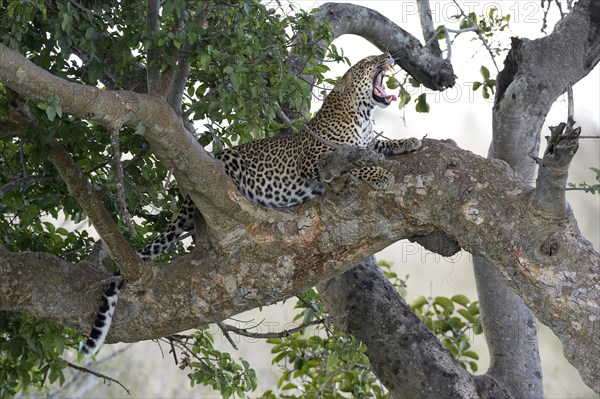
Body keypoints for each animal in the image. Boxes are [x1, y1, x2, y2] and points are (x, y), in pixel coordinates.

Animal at [81, 52, 422, 356]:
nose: (388, 55)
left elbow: (378, 146)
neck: (363, 116)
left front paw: (408, 142)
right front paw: (381, 175)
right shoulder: (318, 160)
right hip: (228, 161)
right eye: (369, 61)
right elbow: (355, 166)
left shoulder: (365, 145)